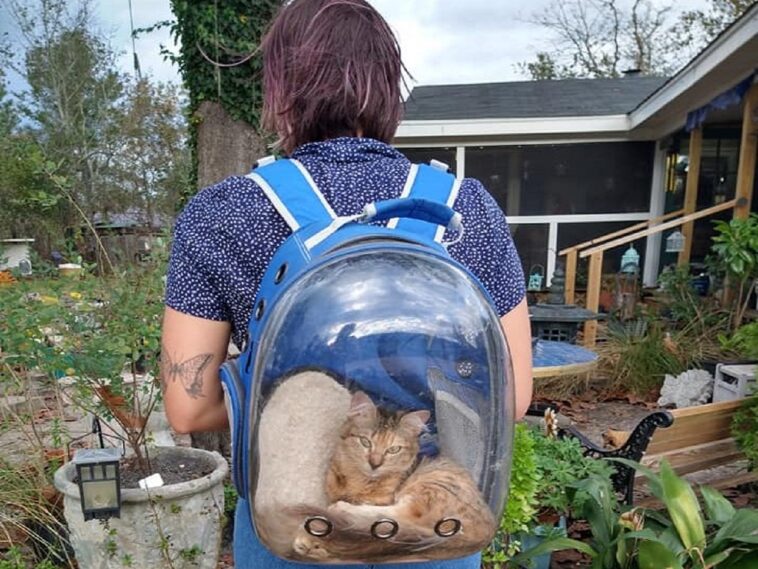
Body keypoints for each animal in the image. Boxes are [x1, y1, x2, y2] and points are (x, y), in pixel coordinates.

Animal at [292, 388, 498, 560]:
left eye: (393, 449)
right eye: (365, 442)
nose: (375, 464)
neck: (359, 480)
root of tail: (485, 533)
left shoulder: (384, 499)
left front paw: (312, 538)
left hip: (430, 487)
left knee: (393, 519)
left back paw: (341, 511)